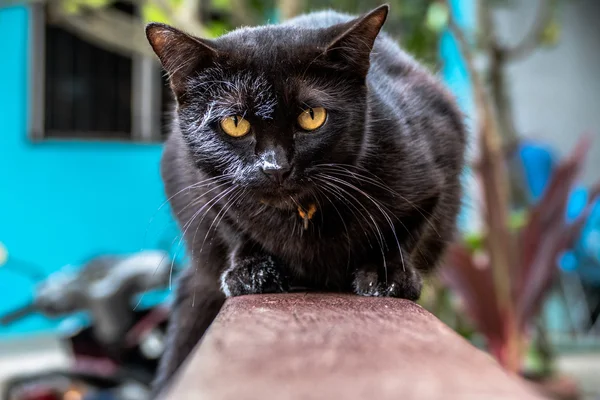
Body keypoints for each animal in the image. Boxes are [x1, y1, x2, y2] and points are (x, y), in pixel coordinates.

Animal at [148, 3, 466, 394]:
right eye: (234, 123)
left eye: (312, 117)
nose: (275, 166)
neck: (300, 215)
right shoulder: (204, 188)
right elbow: (234, 228)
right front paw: (253, 270)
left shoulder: (434, 172)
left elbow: (405, 229)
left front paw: (386, 271)